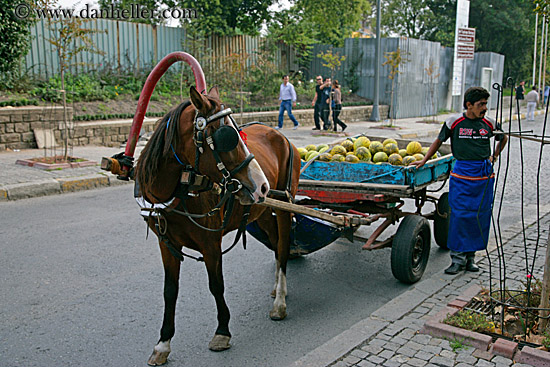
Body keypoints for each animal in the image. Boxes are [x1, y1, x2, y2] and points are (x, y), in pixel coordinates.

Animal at [137, 85, 302, 366]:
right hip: (261, 212)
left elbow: (216, 286)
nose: (262, 186)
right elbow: (170, 291)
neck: (180, 190)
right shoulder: (166, 244)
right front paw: (163, 344)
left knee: (282, 249)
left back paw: (279, 302)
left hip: (282, 204)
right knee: (276, 242)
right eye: (228, 137)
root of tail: (282, 136)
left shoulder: (210, 244)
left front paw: (222, 332)